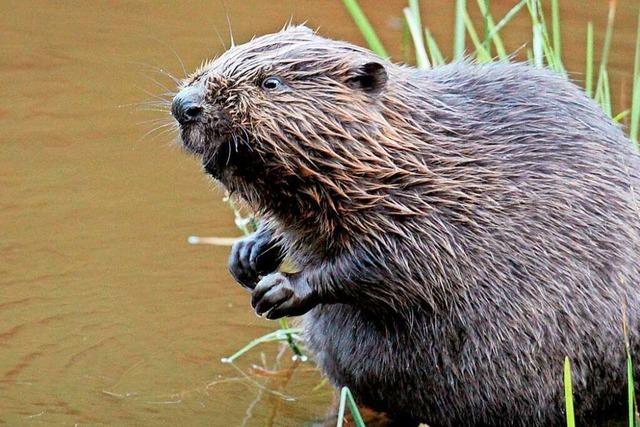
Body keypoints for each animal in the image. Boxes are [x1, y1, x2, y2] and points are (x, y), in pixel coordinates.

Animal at [169, 25, 640, 424]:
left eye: (271, 83)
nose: (184, 105)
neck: (406, 154)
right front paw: (247, 255)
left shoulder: (438, 210)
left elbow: (397, 265)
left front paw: (279, 289)